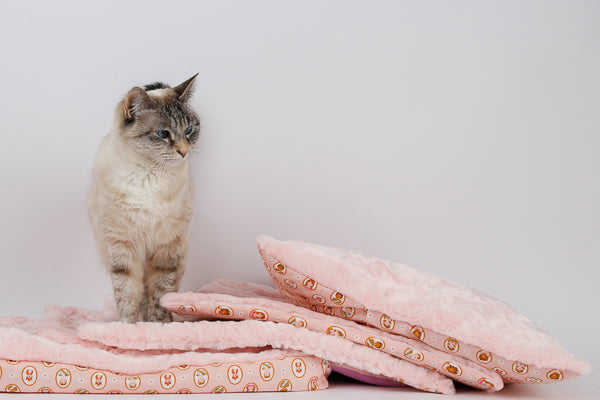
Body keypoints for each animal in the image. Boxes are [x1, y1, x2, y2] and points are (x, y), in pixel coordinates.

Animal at [87, 75, 199, 324]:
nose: (184, 152)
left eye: (188, 130)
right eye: (163, 134)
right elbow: (126, 293)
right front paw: (128, 326)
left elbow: (160, 294)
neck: (149, 176)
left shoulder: (167, 248)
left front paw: (157, 326)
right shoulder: (122, 246)